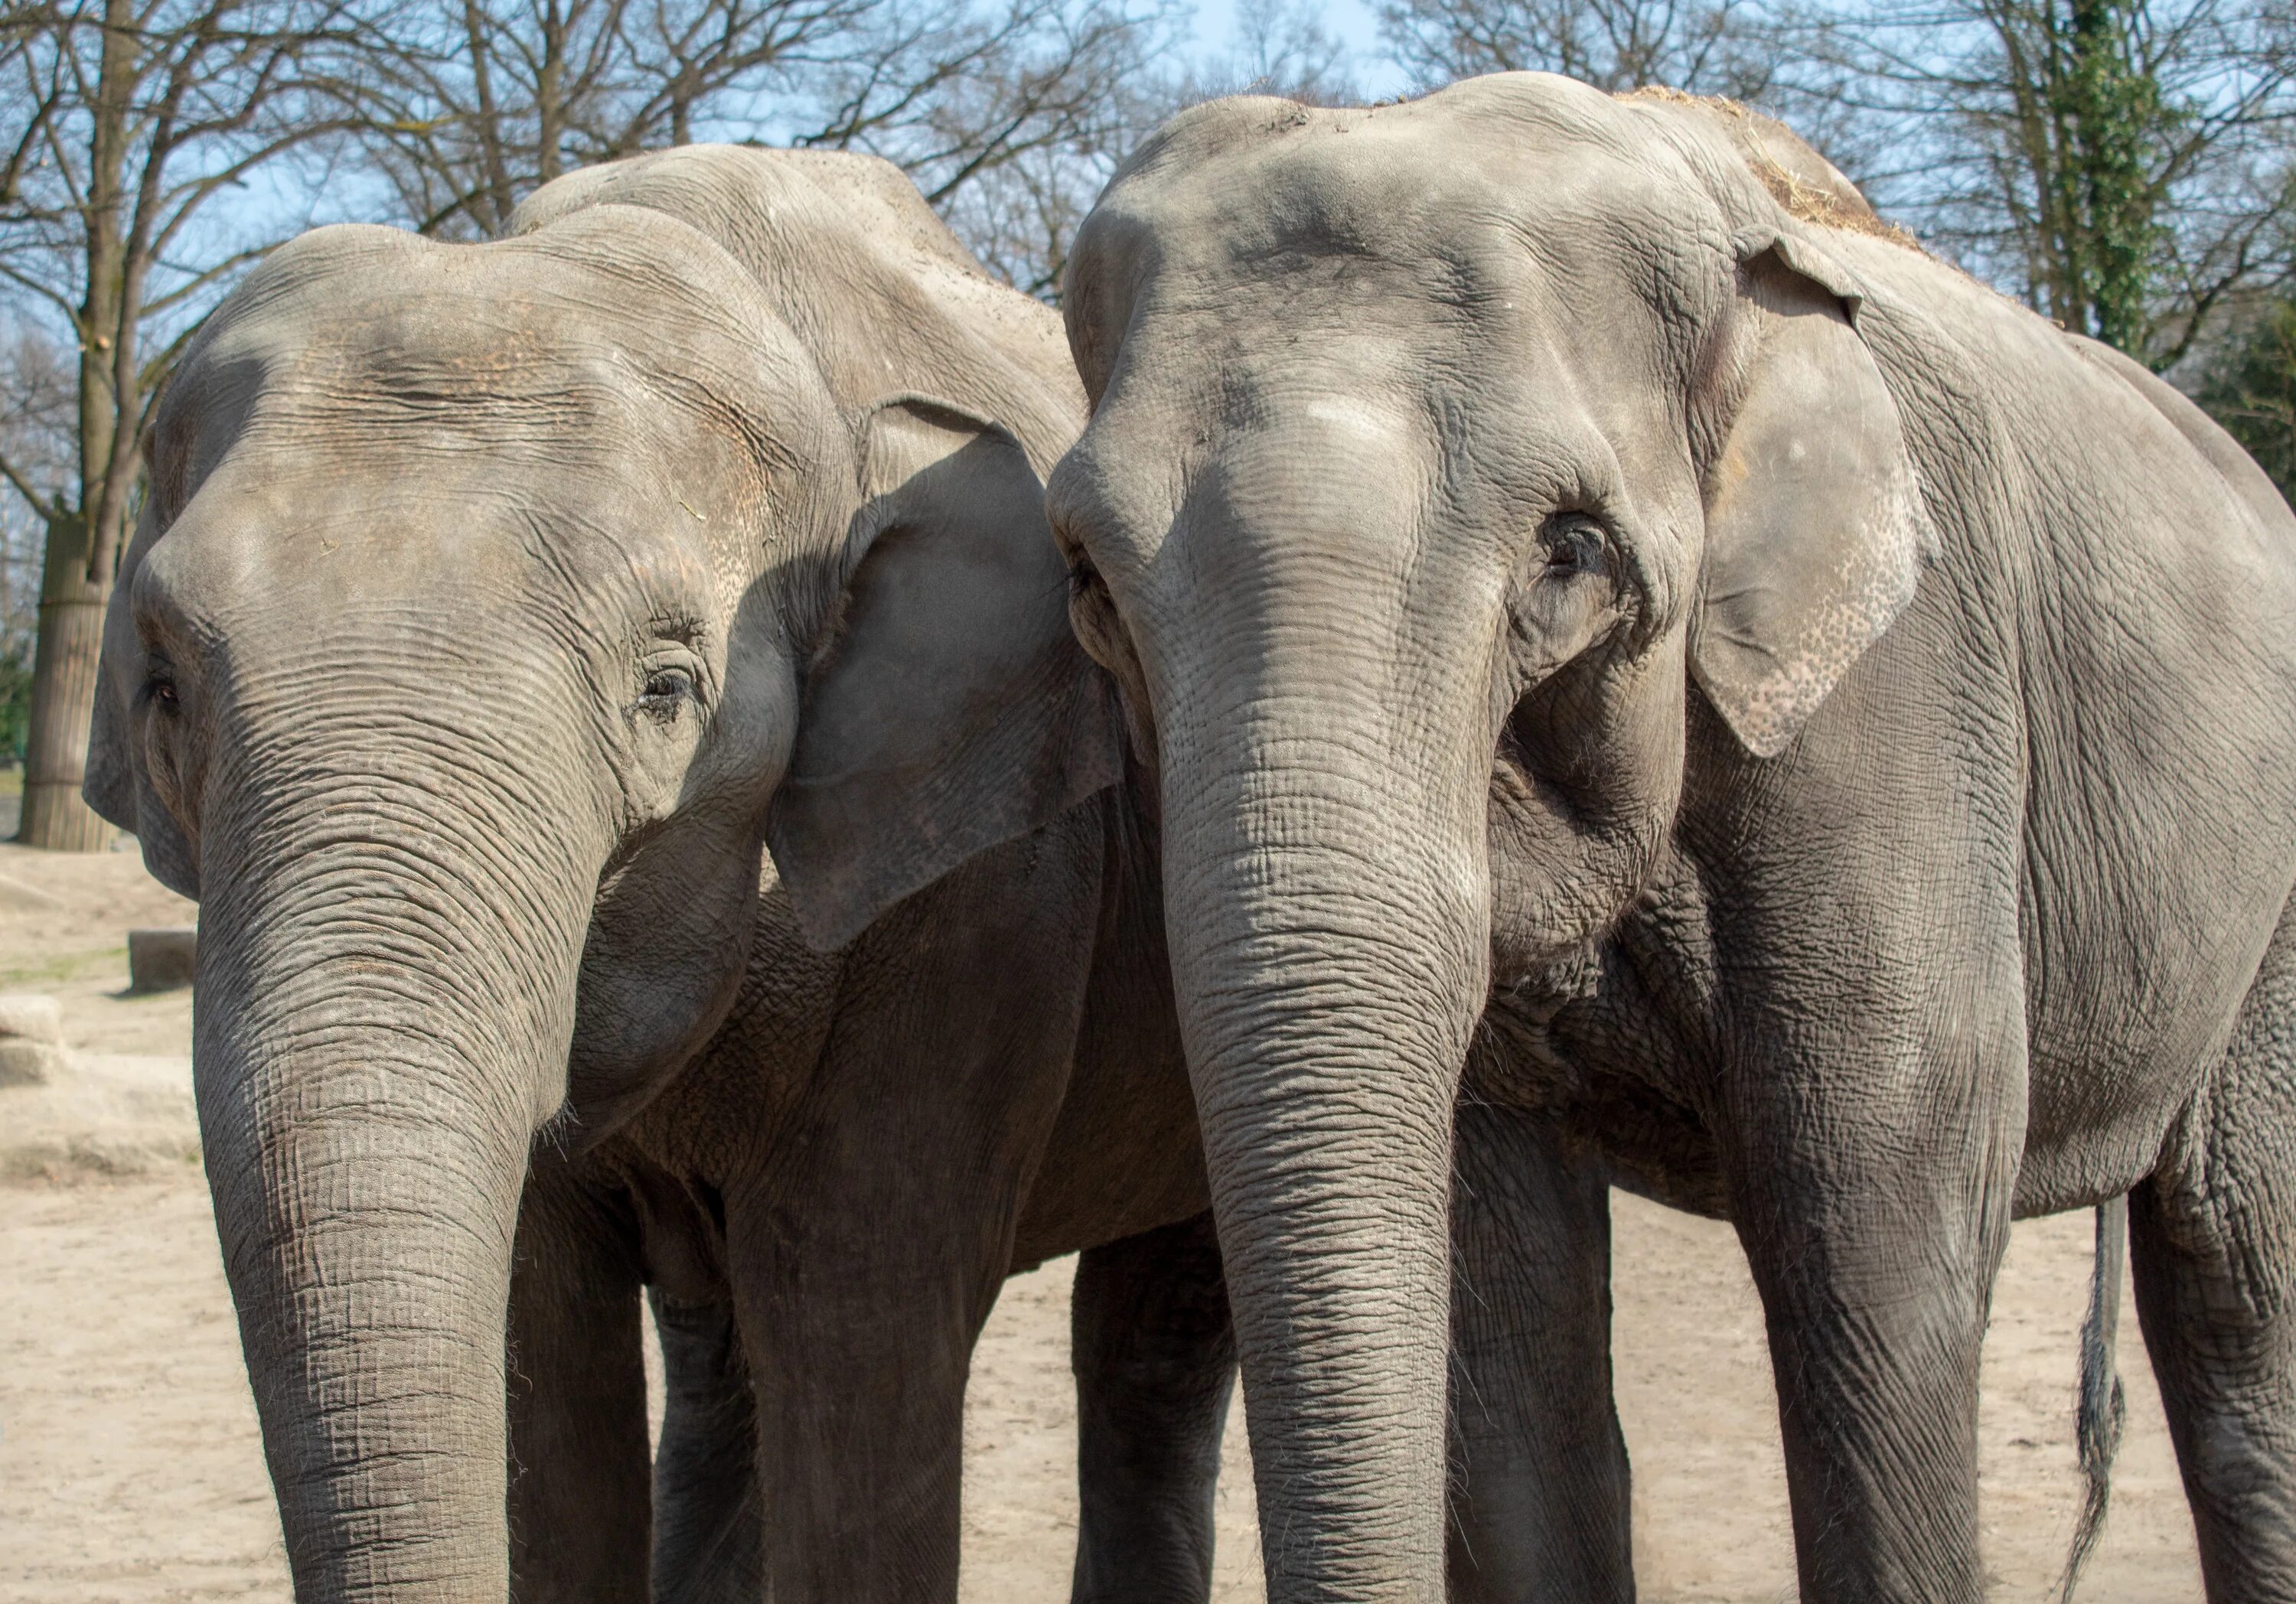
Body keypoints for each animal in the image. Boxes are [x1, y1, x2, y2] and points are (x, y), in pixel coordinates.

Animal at [1052, 72, 2296, 1604]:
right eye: (1088, 579)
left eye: (1571, 553)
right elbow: (1508, 1296)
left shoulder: (1908, 693)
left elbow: (1879, 1210)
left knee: (2238, 1283)